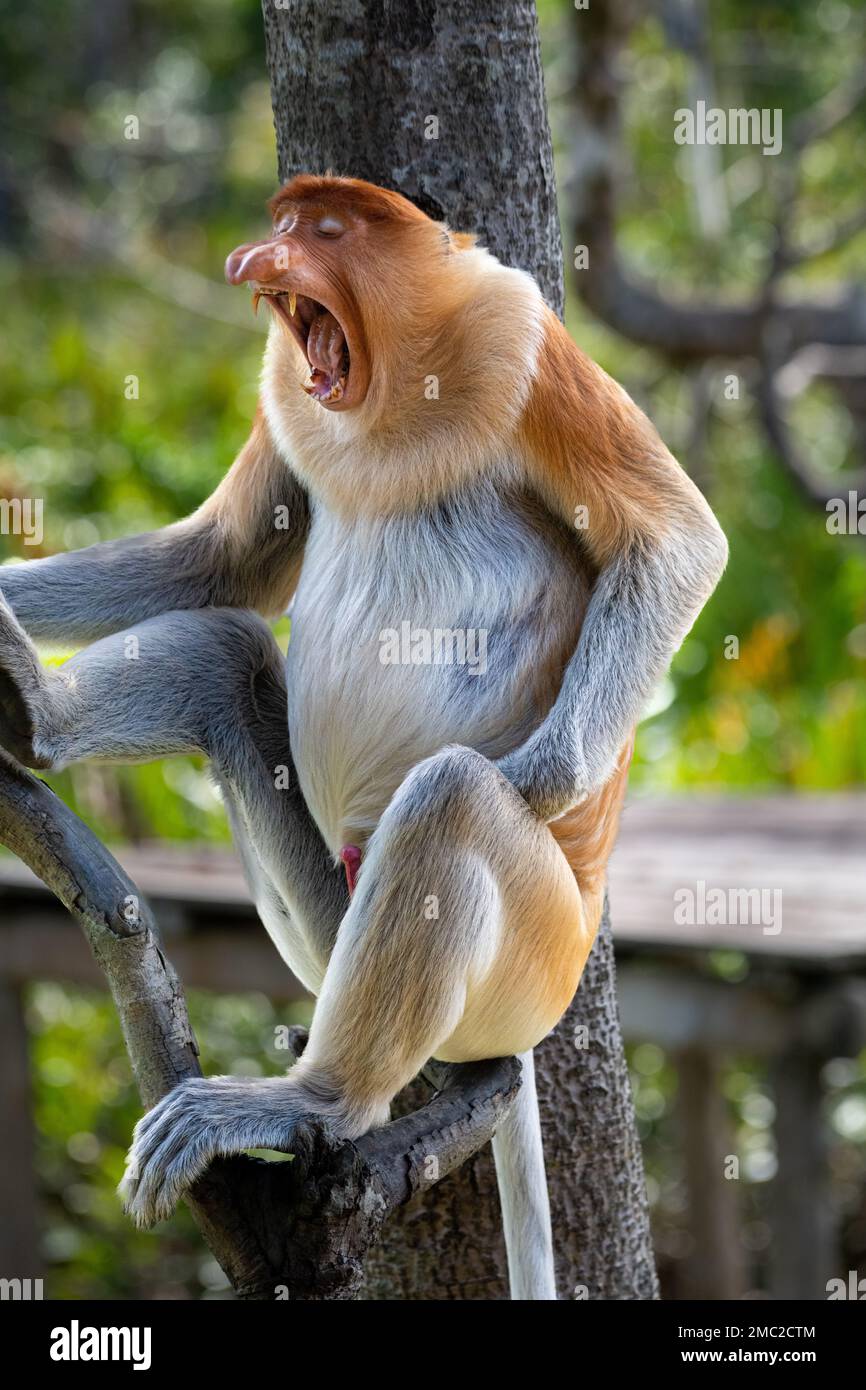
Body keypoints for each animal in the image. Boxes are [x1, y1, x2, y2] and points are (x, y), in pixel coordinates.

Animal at [0, 175, 727, 1300]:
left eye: (327, 230)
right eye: (283, 223)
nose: (251, 260)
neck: (395, 386)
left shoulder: (522, 339)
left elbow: (677, 540)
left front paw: (541, 777)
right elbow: (226, 558)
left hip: (532, 968)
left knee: (452, 797)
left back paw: (312, 1097)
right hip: (323, 924)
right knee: (224, 653)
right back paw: (33, 718)